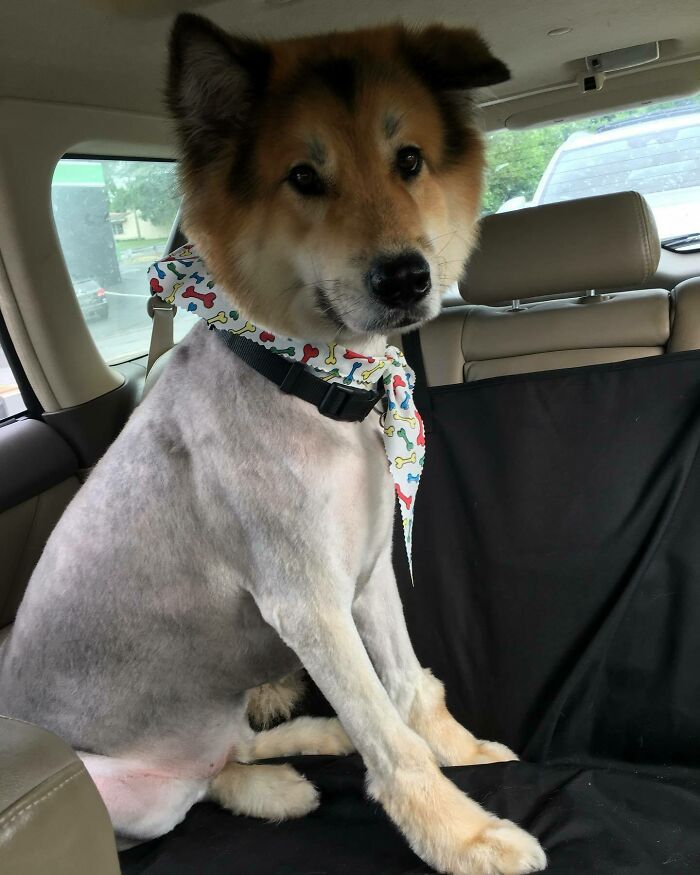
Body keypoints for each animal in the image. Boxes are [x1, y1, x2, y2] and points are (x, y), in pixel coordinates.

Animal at [0, 15, 548, 875]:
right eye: (303, 176)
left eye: (410, 161)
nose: (406, 278)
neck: (315, 381)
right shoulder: (307, 600)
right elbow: (390, 739)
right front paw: (462, 834)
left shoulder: (368, 574)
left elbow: (407, 688)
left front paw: (462, 752)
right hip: (120, 790)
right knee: (199, 786)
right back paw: (281, 783)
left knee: (225, 750)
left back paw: (309, 744)